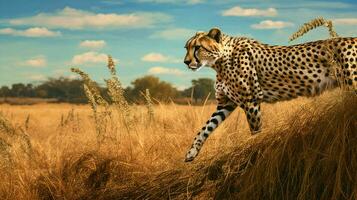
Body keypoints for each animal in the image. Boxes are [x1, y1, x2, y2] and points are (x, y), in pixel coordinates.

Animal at [182, 27, 354, 162]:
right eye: (186, 48)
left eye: (197, 48)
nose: (186, 62)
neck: (220, 61)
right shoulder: (226, 104)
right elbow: (205, 128)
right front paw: (192, 152)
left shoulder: (251, 101)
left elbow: (255, 131)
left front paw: (253, 152)